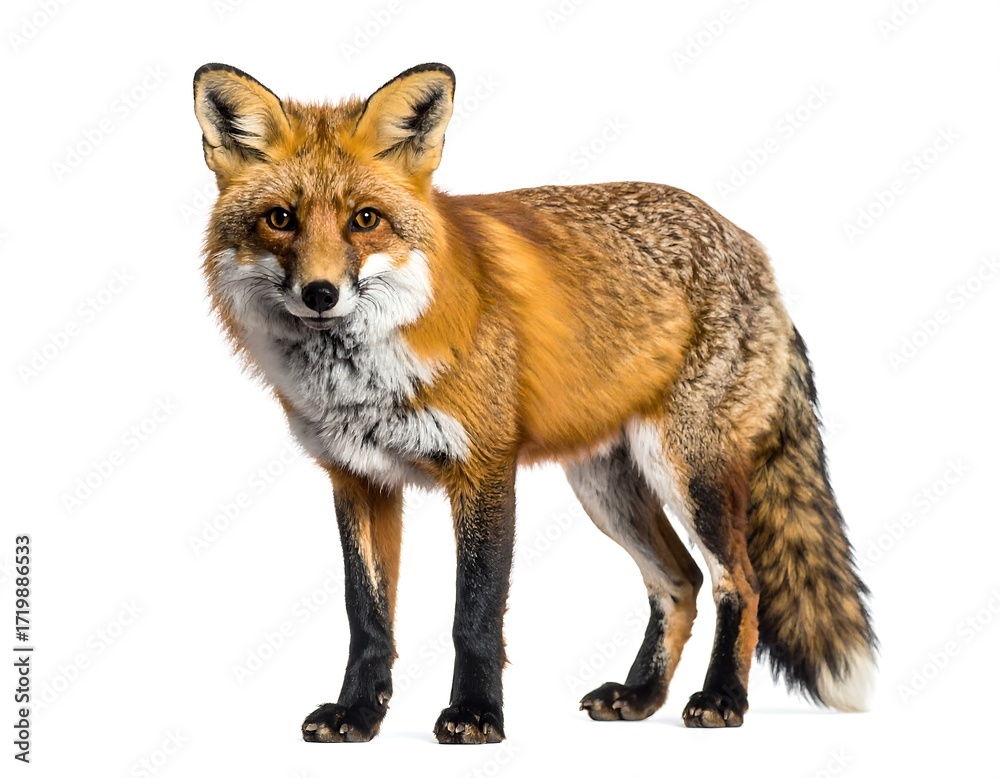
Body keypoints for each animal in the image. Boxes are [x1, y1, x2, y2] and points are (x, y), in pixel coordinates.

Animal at [192, 62, 877, 743]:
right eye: (280, 219)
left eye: (365, 219)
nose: (320, 293)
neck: (363, 382)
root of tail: (748, 243)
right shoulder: (358, 478)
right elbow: (367, 619)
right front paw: (358, 714)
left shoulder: (485, 470)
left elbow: (474, 615)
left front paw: (476, 715)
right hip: (606, 487)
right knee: (679, 581)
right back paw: (640, 695)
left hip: (689, 473)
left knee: (741, 582)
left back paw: (722, 698)